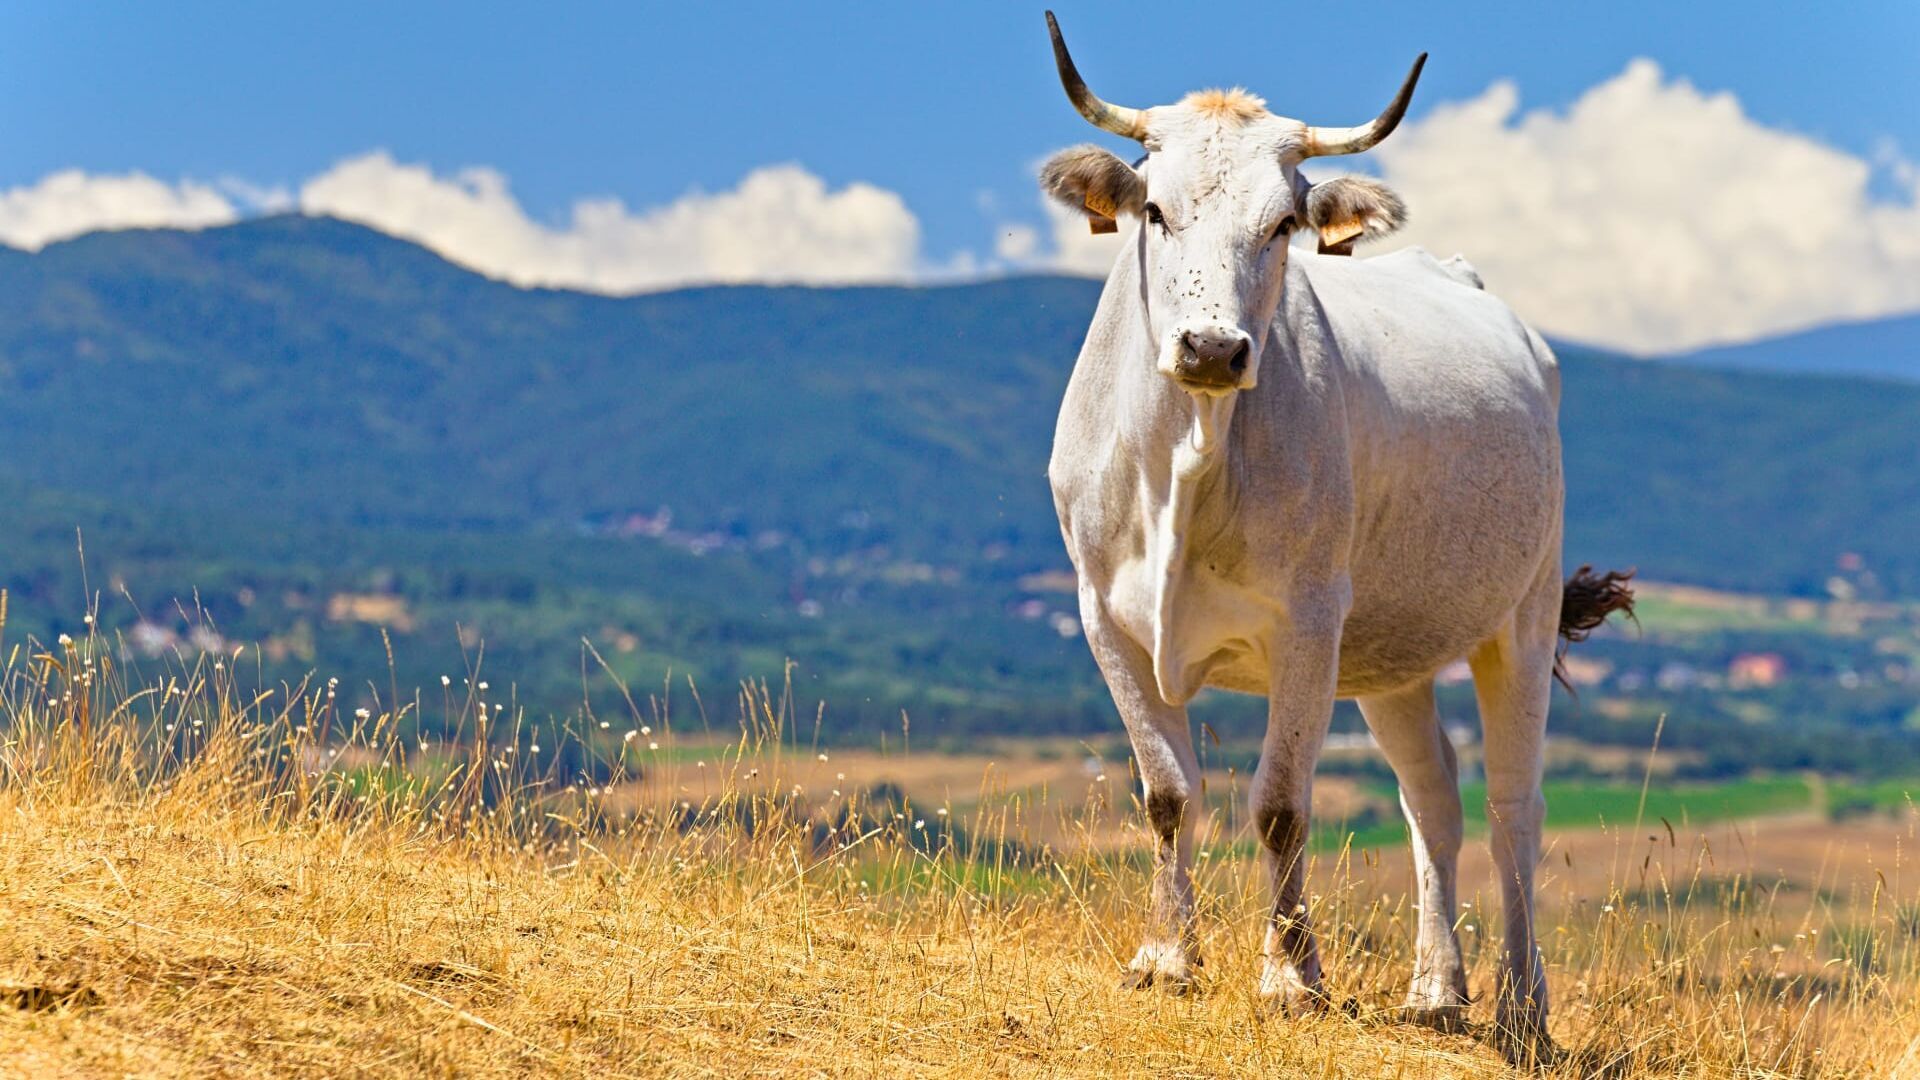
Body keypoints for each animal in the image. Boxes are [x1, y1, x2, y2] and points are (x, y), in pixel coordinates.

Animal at [1037, 12, 1633, 1058]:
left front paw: (1291, 978)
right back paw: (1436, 991)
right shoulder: (1105, 616)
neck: (1191, 460)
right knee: (1433, 798)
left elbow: (1279, 807)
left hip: (1517, 618)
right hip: (1391, 653)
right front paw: (1167, 959)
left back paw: (1522, 1007)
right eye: (1155, 212)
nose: (1211, 348)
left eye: (1283, 225)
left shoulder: (1308, 626)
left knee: (1513, 806)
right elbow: (1168, 792)